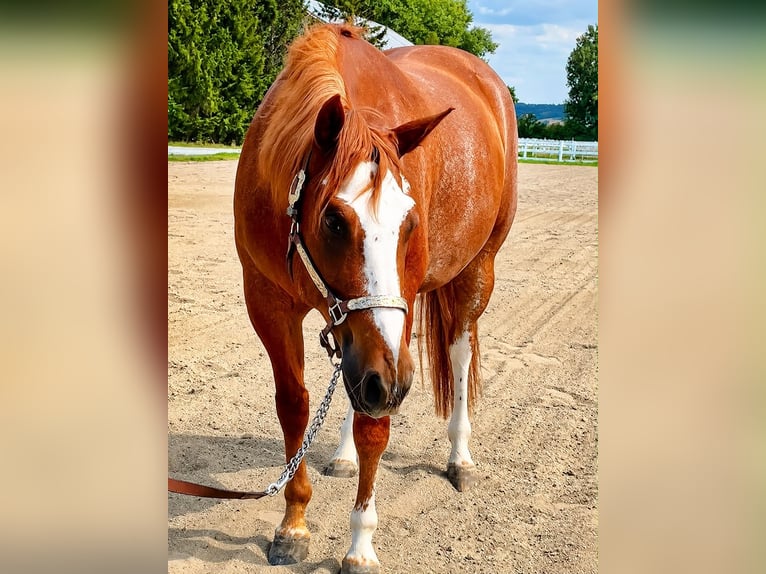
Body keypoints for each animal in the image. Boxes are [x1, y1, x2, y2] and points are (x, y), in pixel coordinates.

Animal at [233, 24, 517, 573]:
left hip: (477, 272)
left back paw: (460, 457)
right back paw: (344, 455)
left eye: (411, 223)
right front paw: (293, 523)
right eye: (333, 220)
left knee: (459, 350)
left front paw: (360, 544)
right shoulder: (268, 303)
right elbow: (294, 407)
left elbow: (375, 430)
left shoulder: (391, 345)